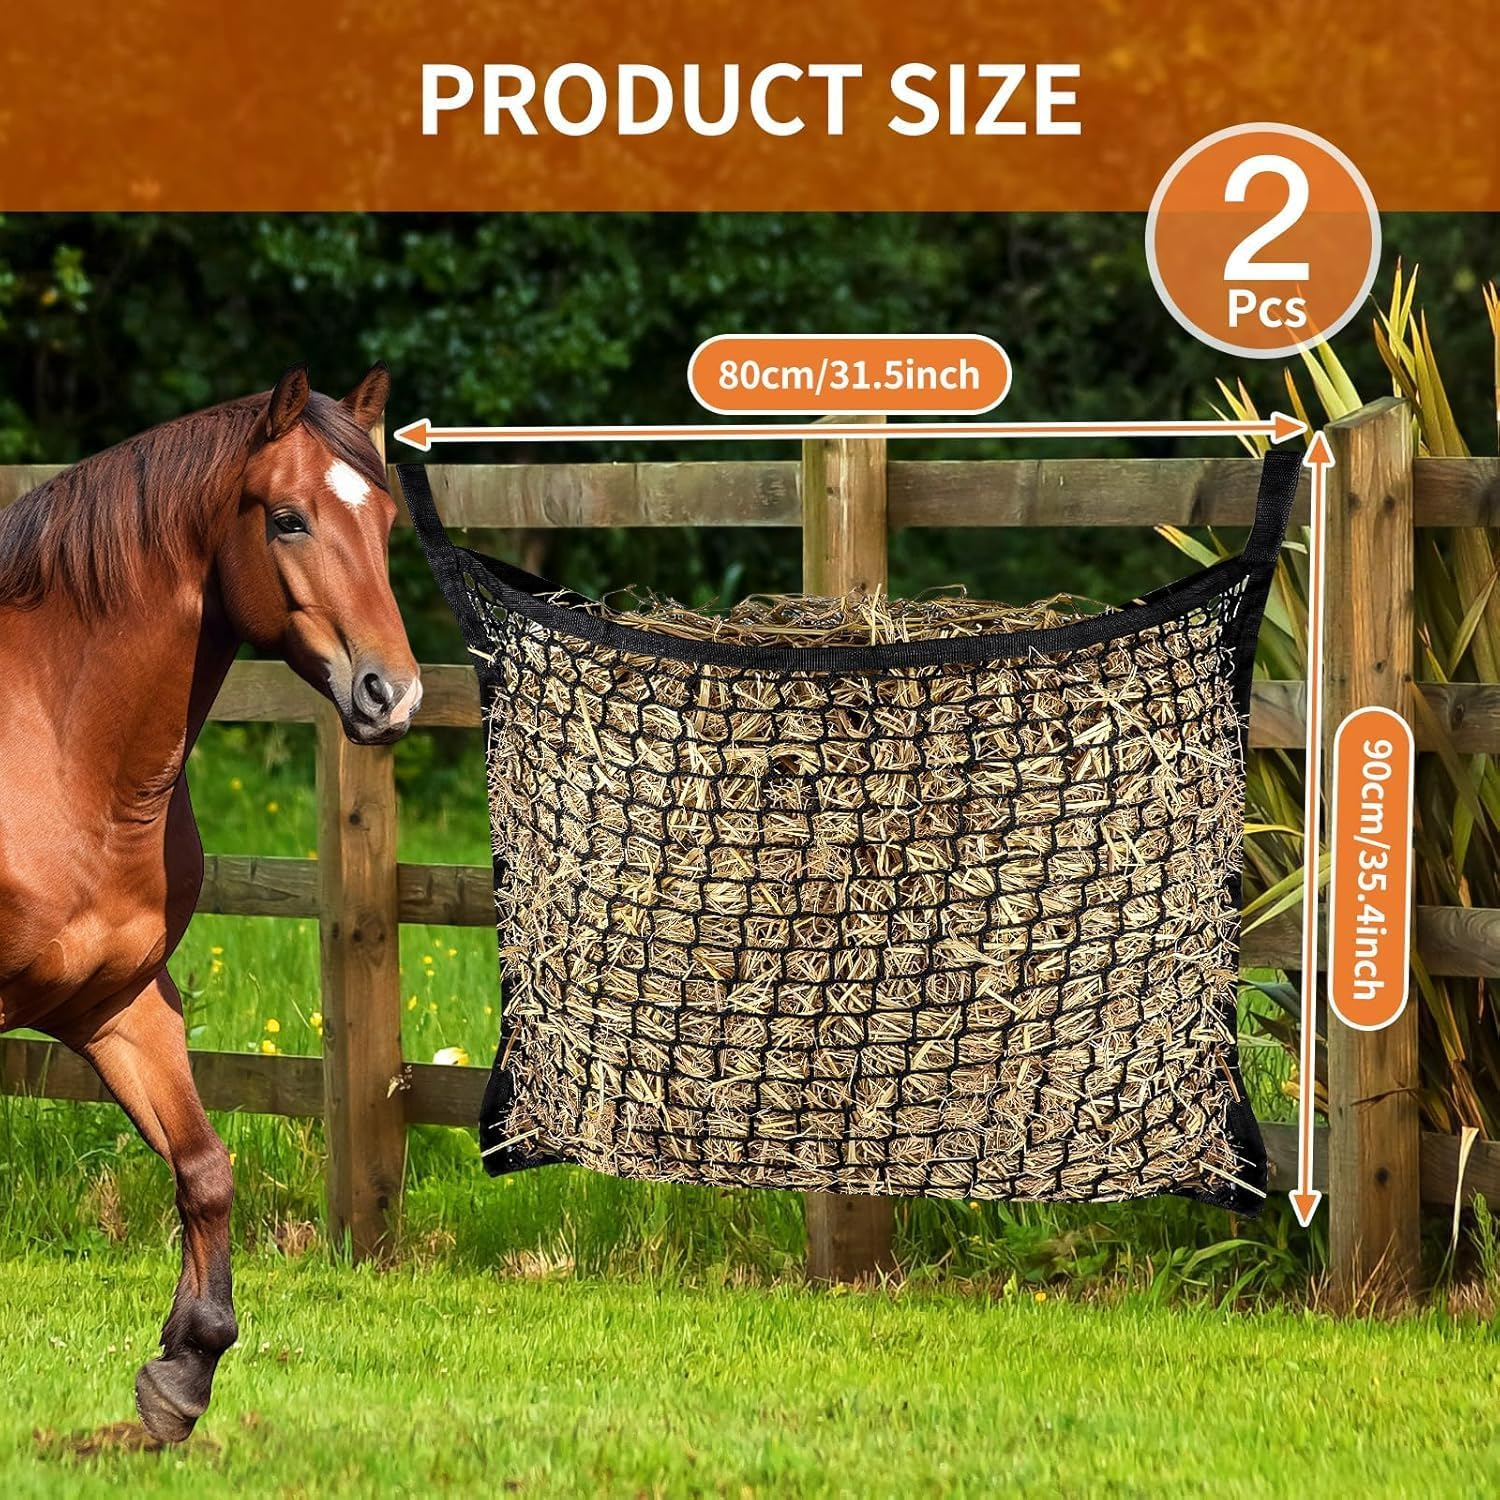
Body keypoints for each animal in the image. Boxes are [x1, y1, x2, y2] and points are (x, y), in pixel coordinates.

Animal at [0, 364, 420, 1442]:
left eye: (386, 521)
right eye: (287, 518)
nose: (391, 695)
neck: (59, 745)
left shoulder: (117, 1005)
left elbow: (205, 1169)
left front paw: (183, 1371)